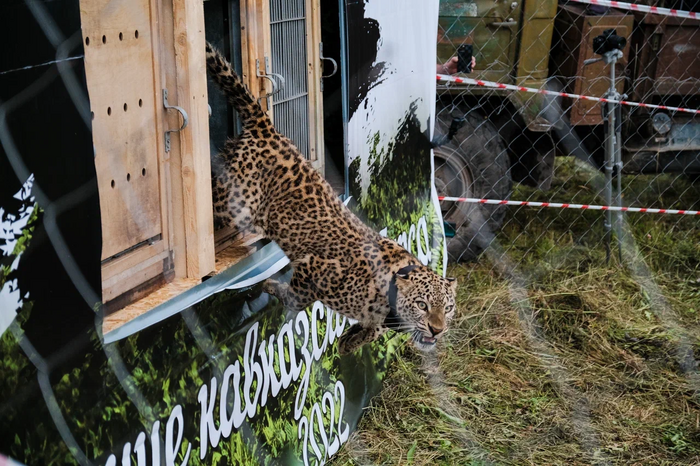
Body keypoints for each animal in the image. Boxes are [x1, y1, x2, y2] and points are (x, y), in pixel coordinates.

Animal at [205, 42, 456, 354]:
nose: (437, 329)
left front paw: (351, 342)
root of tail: (269, 129)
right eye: (422, 305)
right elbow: (299, 298)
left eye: (448, 308)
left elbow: (370, 331)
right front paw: (272, 288)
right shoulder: (313, 266)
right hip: (236, 200)